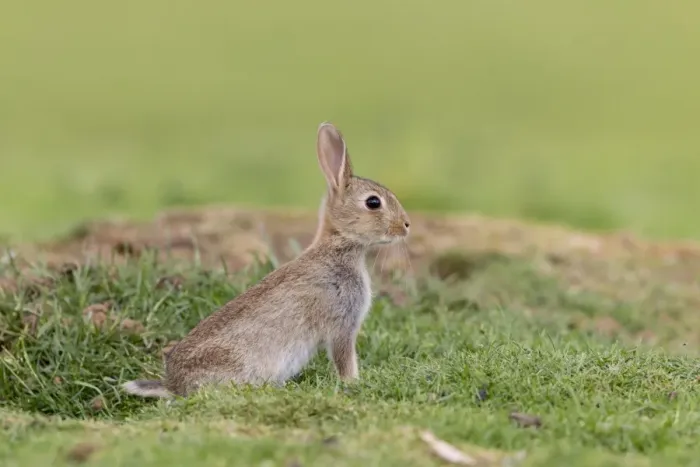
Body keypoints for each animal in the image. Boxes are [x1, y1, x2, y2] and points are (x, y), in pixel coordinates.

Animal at [122, 122, 411, 398]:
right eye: (373, 202)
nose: (406, 225)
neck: (338, 247)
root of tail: (174, 386)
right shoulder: (342, 325)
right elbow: (345, 360)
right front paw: (353, 383)